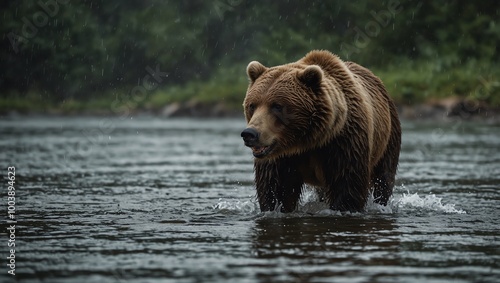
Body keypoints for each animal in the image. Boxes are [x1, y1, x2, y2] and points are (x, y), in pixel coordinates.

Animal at [240, 50, 400, 213]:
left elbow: (347, 185)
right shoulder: (280, 157)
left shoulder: (344, 143)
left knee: (383, 179)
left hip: (388, 139)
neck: (308, 140)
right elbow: (275, 188)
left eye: (277, 106)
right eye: (252, 105)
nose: (250, 134)